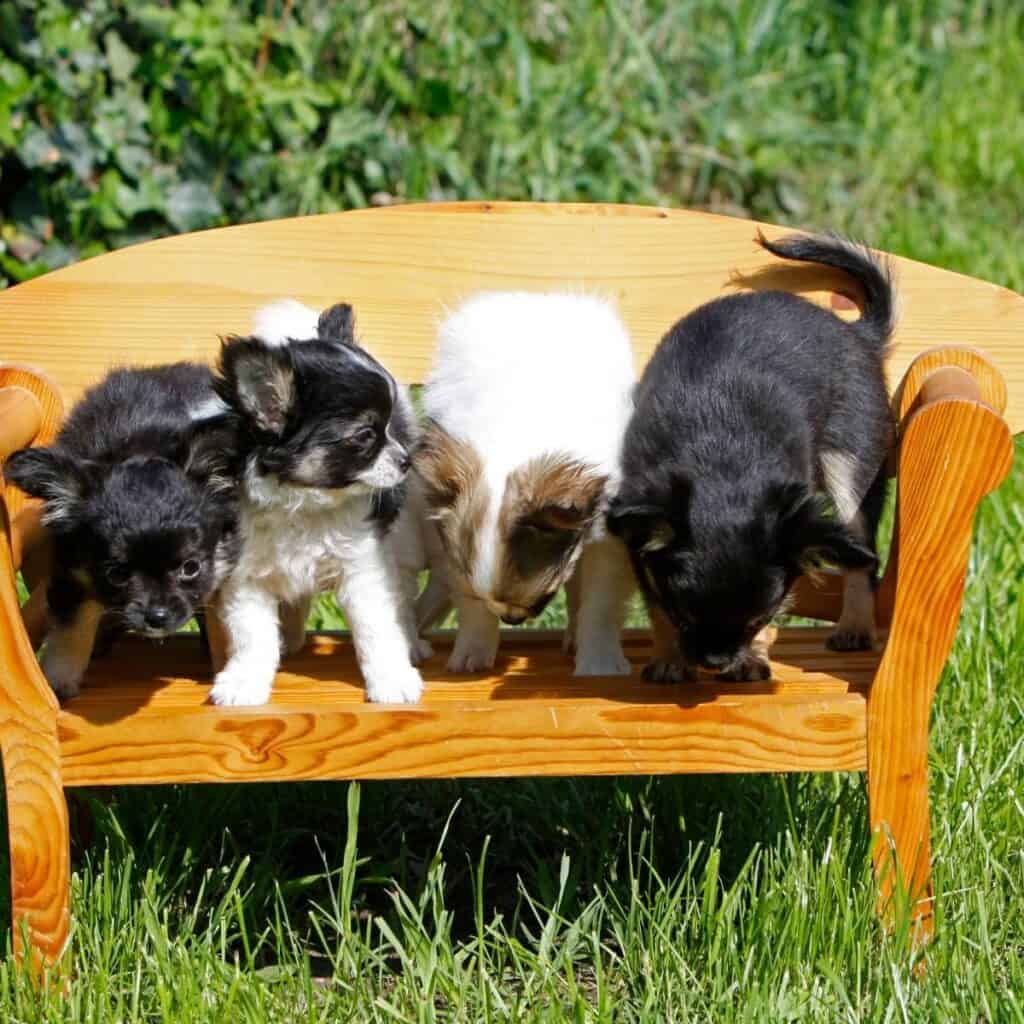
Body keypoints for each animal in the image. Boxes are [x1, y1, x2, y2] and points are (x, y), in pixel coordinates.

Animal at [4, 364, 239, 700]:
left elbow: (220, 623)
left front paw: (226, 673)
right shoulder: (73, 570)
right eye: (116, 574)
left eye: (190, 568)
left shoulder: (224, 563)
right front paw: (59, 680)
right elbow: (74, 624)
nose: (157, 617)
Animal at [209, 299, 425, 708]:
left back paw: (414, 642)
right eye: (366, 435)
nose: (406, 460)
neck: (305, 504)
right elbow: (251, 638)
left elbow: (377, 630)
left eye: (388, 428)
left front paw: (392, 679)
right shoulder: (245, 578)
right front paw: (245, 681)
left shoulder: (363, 569)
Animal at [415, 290, 630, 671]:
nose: (512, 618)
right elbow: (470, 601)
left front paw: (599, 663)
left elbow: (600, 602)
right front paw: (472, 652)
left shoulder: (606, 537)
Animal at [606, 232, 897, 679]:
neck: (723, 465)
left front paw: (751, 658)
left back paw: (855, 627)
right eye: (684, 615)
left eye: (756, 621)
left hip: (852, 469)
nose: (715, 662)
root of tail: (857, 333)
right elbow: (655, 604)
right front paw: (670, 659)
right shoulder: (640, 534)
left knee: (863, 558)